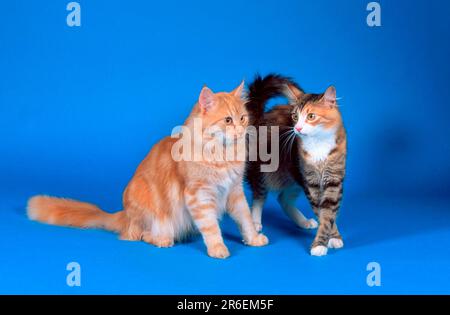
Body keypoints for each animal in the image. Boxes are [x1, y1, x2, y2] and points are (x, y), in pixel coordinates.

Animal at [27, 82, 268, 260]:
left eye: (243, 118)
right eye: (227, 120)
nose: (241, 130)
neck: (223, 155)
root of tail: (124, 215)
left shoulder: (234, 191)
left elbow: (245, 219)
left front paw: (253, 238)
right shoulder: (198, 195)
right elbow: (211, 227)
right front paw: (218, 248)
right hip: (149, 207)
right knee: (139, 235)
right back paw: (163, 240)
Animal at [246, 74, 344, 256]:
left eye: (311, 116)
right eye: (295, 117)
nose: (297, 128)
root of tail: (260, 117)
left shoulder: (334, 180)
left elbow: (329, 214)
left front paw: (333, 237)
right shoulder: (311, 183)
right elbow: (323, 213)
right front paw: (322, 244)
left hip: (293, 177)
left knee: (283, 199)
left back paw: (303, 222)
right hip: (262, 170)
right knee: (259, 197)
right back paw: (254, 223)